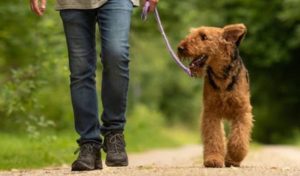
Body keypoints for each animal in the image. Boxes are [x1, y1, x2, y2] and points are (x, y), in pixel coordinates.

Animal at [178, 23, 253, 168]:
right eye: (191, 34)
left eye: (204, 36)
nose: (181, 48)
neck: (221, 76)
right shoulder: (211, 112)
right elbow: (214, 137)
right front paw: (213, 159)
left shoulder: (242, 111)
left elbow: (239, 138)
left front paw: (234, 156)